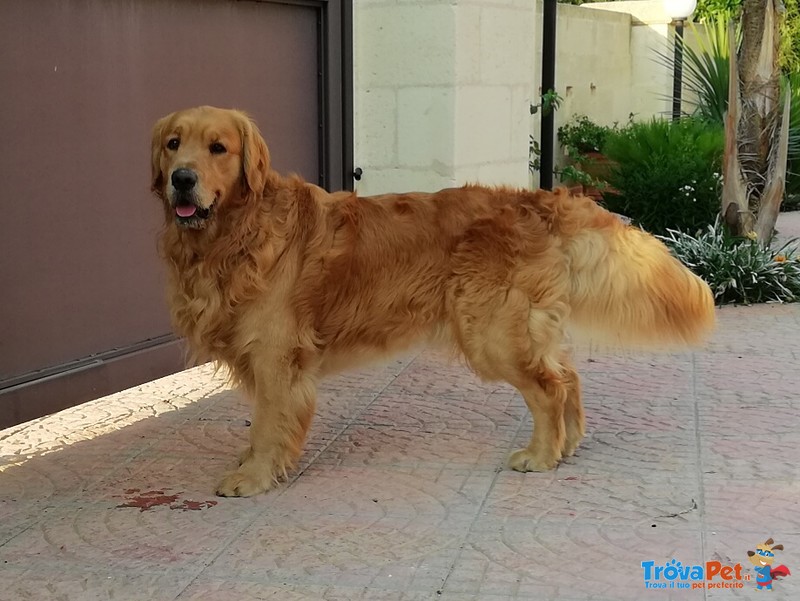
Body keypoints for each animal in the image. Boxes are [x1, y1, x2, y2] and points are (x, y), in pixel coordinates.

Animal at [150, 105, 720, 494]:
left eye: (218, 148)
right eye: (174, 143)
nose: (182, 179)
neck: (232, 235)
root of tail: (542, 201)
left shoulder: (275, 356)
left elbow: (271, 423)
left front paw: (255, 476)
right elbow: (260, 423)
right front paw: (250, 463)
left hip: (492, 334)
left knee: (549, 388)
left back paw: (540, 455)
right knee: (568, 376)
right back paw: (568, 444)